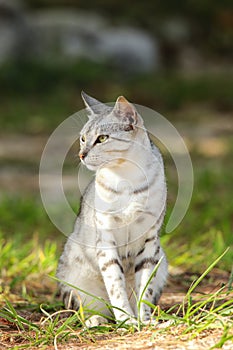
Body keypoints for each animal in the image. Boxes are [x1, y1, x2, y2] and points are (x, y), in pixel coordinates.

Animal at [57, 91, 168, 326]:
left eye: (102, 138)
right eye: (83, 138)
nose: (81, 154)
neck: (126, 177)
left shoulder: (150, 239)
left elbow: (145, 288)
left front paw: (143, 321)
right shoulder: (106, 238)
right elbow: (115, 284)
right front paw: (127, 321)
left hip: (162, 261)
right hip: (72, 278)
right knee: (86, 310)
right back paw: (96, 320)